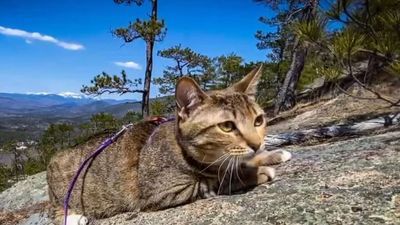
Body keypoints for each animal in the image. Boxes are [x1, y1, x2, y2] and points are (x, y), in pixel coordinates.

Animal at [47, 66, 292, 224]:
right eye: (227, 126)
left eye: (258, 120)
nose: (256, 143)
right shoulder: (165, 193)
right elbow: (217, 179)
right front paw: (257, 172)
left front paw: (270, 153)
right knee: (55, 211)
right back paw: (75, 217)